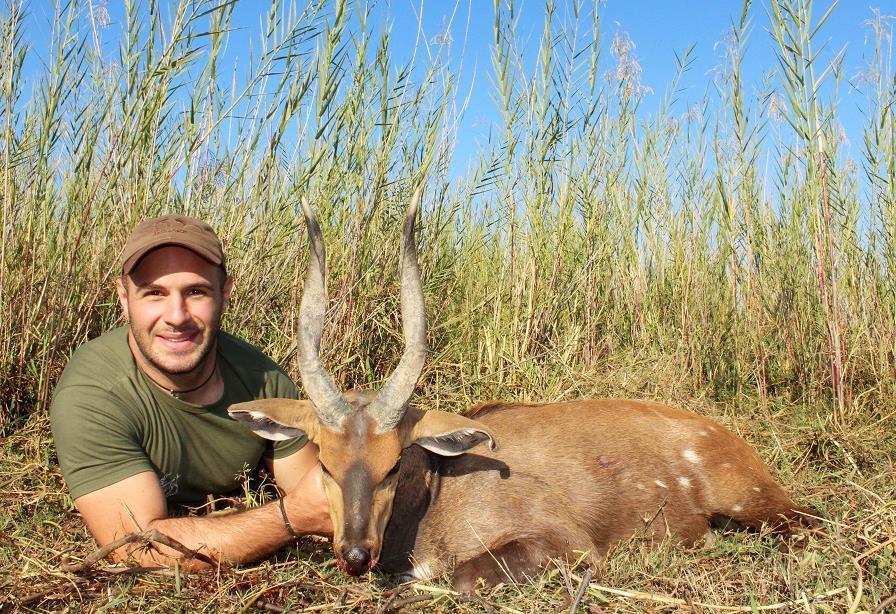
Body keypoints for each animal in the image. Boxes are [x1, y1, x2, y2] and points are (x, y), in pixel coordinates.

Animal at [228, 192, 816, 592]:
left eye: (393, 464)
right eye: (326, 464)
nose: (354, 554)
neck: (440, 490)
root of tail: (729, 438)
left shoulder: (569, 546)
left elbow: (459, 577)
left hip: (759, 505)